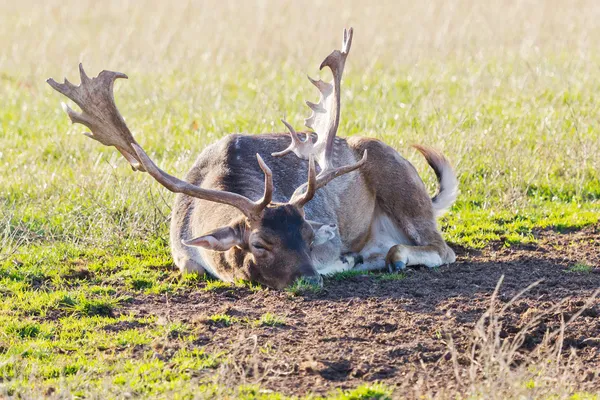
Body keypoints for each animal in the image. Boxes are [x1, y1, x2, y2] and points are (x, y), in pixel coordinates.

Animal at [48, 28, 460, 290]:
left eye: (309, 236)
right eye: (260, 243)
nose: (310, 278)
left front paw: (345, 261)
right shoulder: (183, 255)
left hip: (391, 169)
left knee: (441, 248)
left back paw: (390, 256)